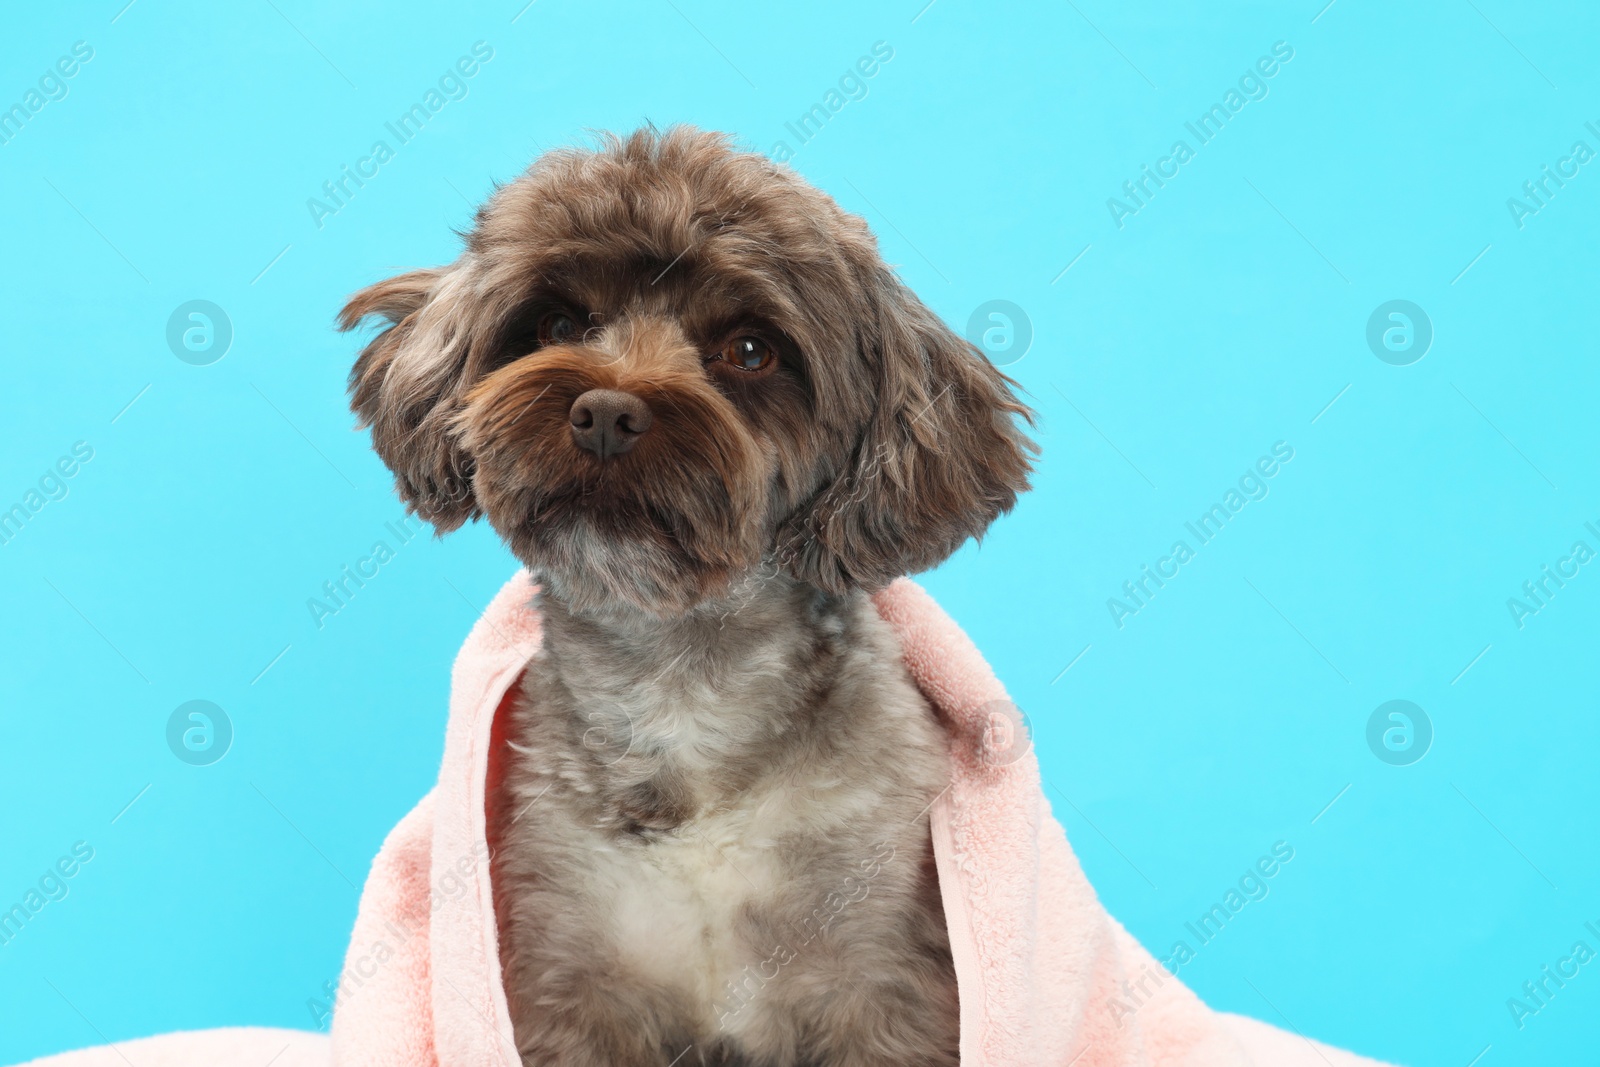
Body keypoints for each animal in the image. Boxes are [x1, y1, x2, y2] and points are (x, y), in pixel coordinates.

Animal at [340, 127, 1036, 1067]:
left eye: (750, 350)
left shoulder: (883, 984)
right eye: (559, 324)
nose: (604, 412)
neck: (680, 686)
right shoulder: (568, 980)